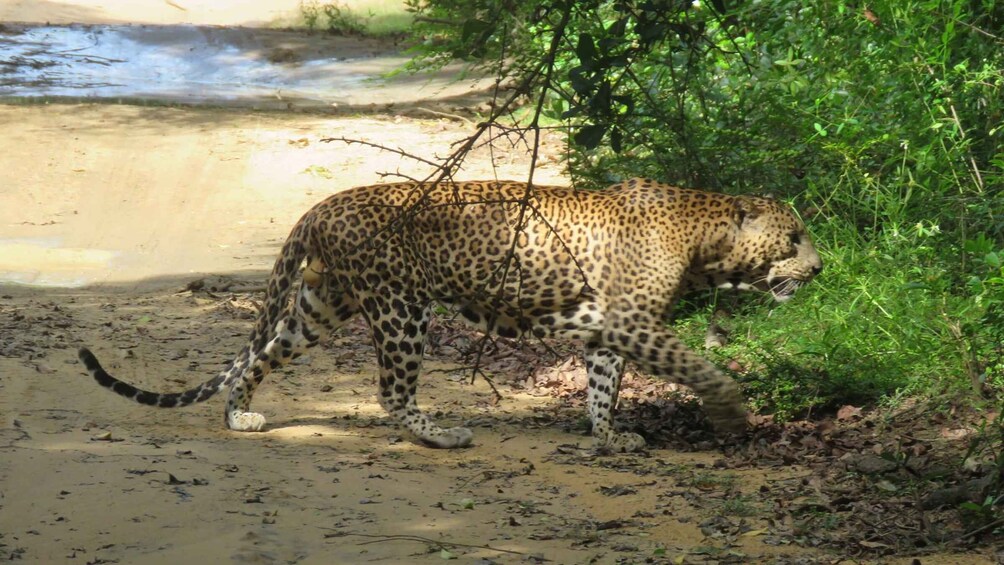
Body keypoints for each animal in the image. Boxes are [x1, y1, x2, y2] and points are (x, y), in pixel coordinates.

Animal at [78, 178, 822, 452]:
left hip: (321, 304)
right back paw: (441, 433)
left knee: (257, 356)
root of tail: (324, 203)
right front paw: (732, 414)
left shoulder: (609, 328)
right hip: (401, 308)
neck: (705, 237)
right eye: (793, 238)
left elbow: (603, 387)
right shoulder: (637, 322)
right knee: (391, 391)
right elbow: (701, 366)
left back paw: (240, 416)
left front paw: (609, 438)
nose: (819, 269)